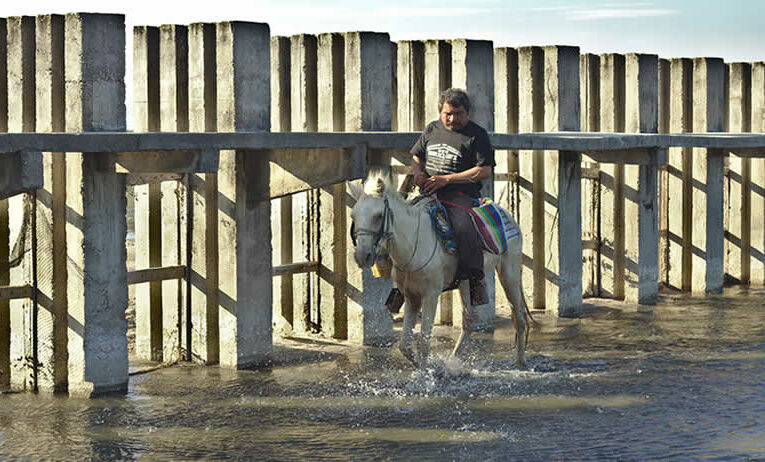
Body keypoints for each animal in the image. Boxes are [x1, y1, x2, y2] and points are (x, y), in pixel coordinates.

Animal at [348, 170, 532, 368]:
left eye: (378, 216)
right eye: (353, 216)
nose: (362, 256)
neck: (414, 245)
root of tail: (508, 215)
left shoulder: (430, 295)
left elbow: (423, 341)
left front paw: (425, 372)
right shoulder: (411, 297)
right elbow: (404, 345)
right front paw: (427, 367)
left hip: (509, 272)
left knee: (519, 318)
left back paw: (521, 361)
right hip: (466, 282)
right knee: (469, 319)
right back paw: (453, 361)